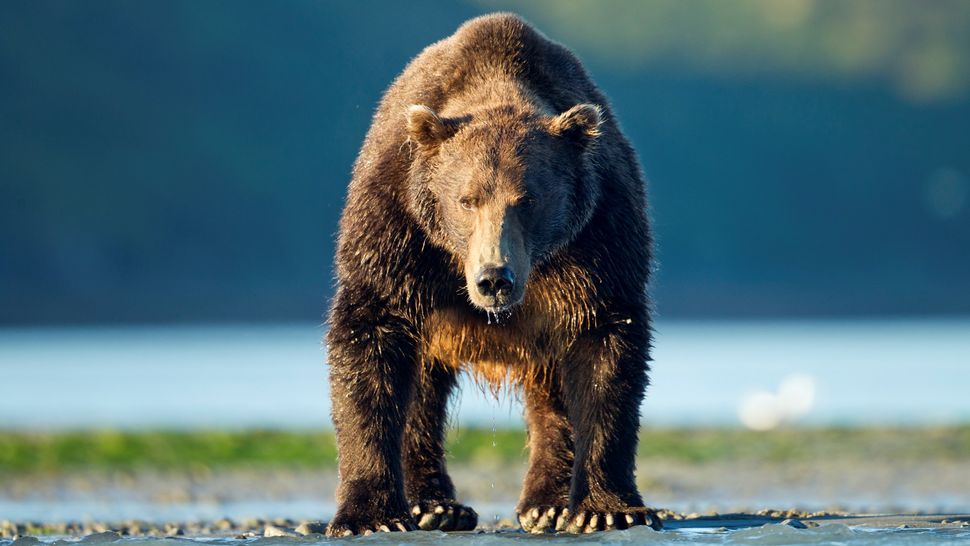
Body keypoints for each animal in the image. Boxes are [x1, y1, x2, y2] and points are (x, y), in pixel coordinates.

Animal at [326, 12, 656, 536]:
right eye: (467, 199)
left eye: (529, 199)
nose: (494, 278)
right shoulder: (398, 227)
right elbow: (370, 342)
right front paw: (370, 515)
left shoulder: (599, 237)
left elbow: (607, 354)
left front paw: (606, 509)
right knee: (422, 394)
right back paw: (436, 506)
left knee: (551, 394)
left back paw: (546, 503)